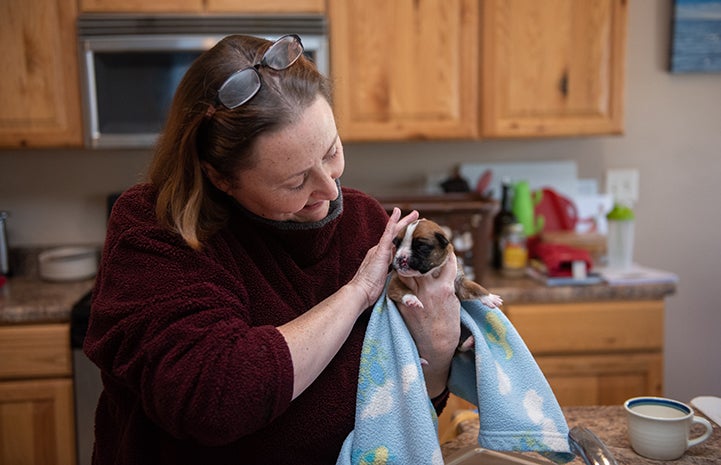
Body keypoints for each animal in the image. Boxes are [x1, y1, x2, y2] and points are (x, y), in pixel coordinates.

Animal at [388, 219, 500, 358]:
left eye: (421, 247)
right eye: (397, 245)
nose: (400, 258)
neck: (432, 272)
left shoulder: (459, 283)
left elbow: (476, 287)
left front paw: (490, 297)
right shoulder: (394, 283)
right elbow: (403, 291)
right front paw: (411, 300)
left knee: (458, 347)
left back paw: (469, 342)